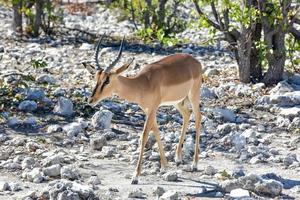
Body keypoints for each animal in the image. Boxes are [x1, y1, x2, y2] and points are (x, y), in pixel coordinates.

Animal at [83, 34, 203, 184]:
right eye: (95, 78)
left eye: (107, 80)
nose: (90, 100)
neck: (142, 83)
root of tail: (196, 62)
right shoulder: (147, 109)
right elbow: (155, 130)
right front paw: (164, 166)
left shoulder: (153, 108)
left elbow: (144, 135)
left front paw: (135, 176)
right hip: (178, 102)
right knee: (187, 114)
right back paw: (178, 159)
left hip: (193, 95)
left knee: (198, 118)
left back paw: (195, 164)